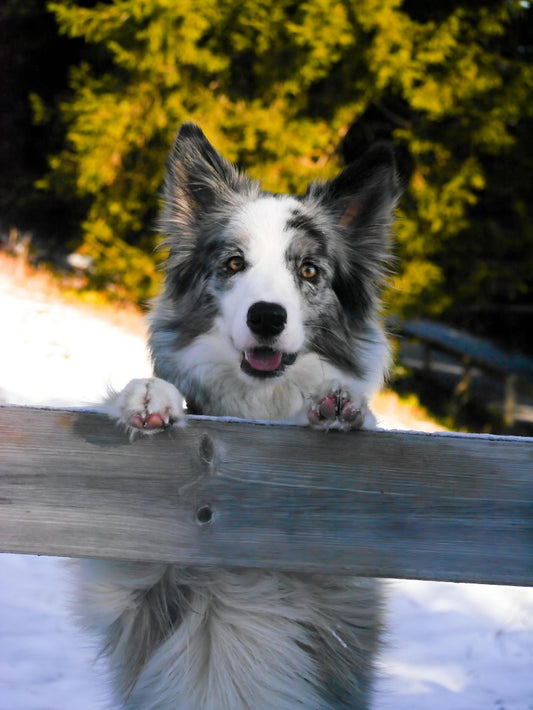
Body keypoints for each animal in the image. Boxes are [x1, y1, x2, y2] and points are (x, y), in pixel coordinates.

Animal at [76, 125, 400, 708]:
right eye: (233, 264)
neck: (254, 412)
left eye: (309, 271)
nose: (267, 317)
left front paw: (343, 405)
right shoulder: (125, 580)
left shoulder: (343, 584)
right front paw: (150, 396)